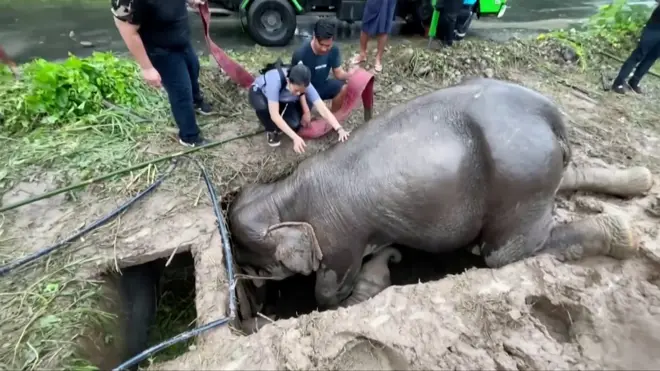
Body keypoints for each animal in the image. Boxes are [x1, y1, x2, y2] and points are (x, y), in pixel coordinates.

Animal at [228, 77, 656, 310]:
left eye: (261, 268)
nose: (253, 289)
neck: (283, 191)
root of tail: (549, 111)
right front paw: (387, 256)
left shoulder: (339, 236)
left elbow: (329, 292)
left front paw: (377, 270)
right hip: (538, 167)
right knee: (568, 178)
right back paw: (641, 181)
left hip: (520, 175)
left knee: (504, 253)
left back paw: (623, 232)